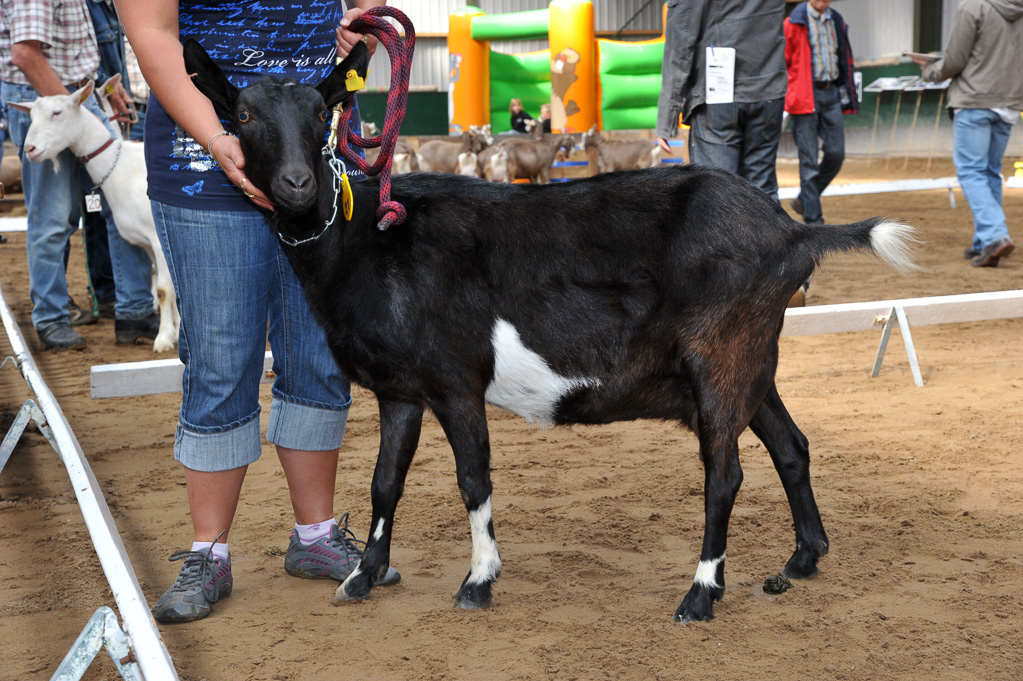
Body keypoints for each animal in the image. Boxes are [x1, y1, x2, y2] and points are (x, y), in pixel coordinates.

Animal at [12, 82, 176, 351]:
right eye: (31, 117)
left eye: (57, 113)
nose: (30, 150)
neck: (119, 166)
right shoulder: (150, 244)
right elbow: (173, 290)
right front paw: (176, 333)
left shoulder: (159, 240)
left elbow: (163, 290)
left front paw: (163, 339)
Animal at [186, 38, 920, 621]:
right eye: (243, 115)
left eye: (321, 113)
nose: (297, 183)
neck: (368, 240)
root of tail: (792, 231)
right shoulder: (400, 390)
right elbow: (383, 481)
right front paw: (362, 577)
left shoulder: (456, 379)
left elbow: (473, 478)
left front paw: (478, 581)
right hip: (753, 362)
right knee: (791, 445)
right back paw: (802, 558)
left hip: (721, 355)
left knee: (725, 472)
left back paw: (699, 594)